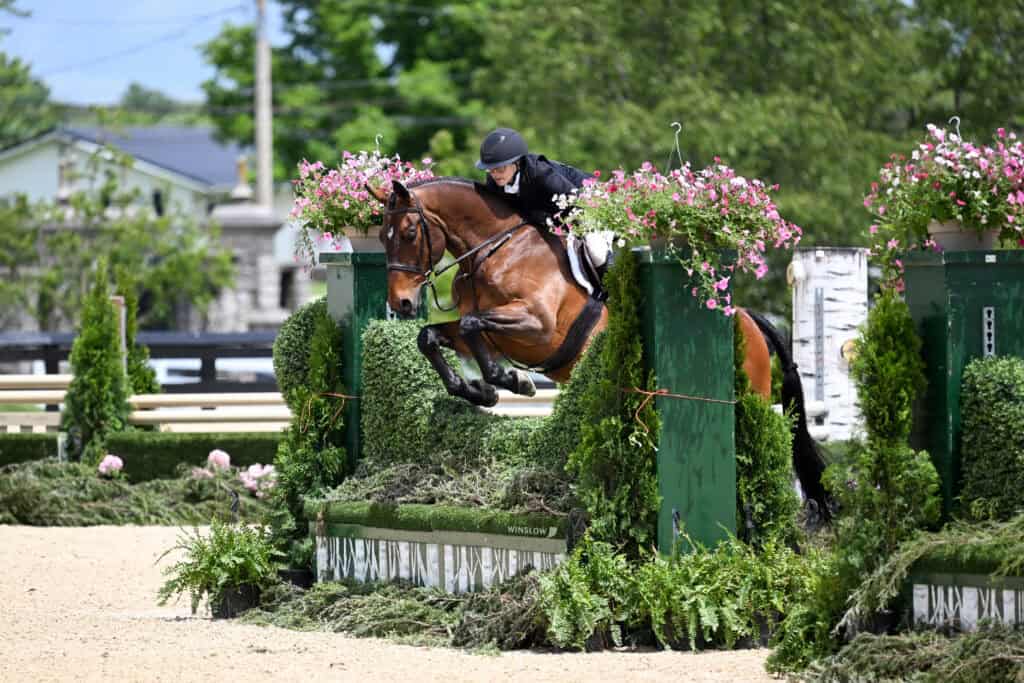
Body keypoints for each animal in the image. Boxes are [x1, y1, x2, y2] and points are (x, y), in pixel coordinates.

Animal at [369, 177, 828, 516]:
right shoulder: (486, 330)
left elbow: (471, 325)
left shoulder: (537, 326)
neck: (495, 250)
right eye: (382, 236)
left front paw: (509, 380)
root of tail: (748, 318)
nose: (402, 303)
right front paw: (478, 389)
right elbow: (434, 336)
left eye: (409, 232)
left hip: (751, 395)